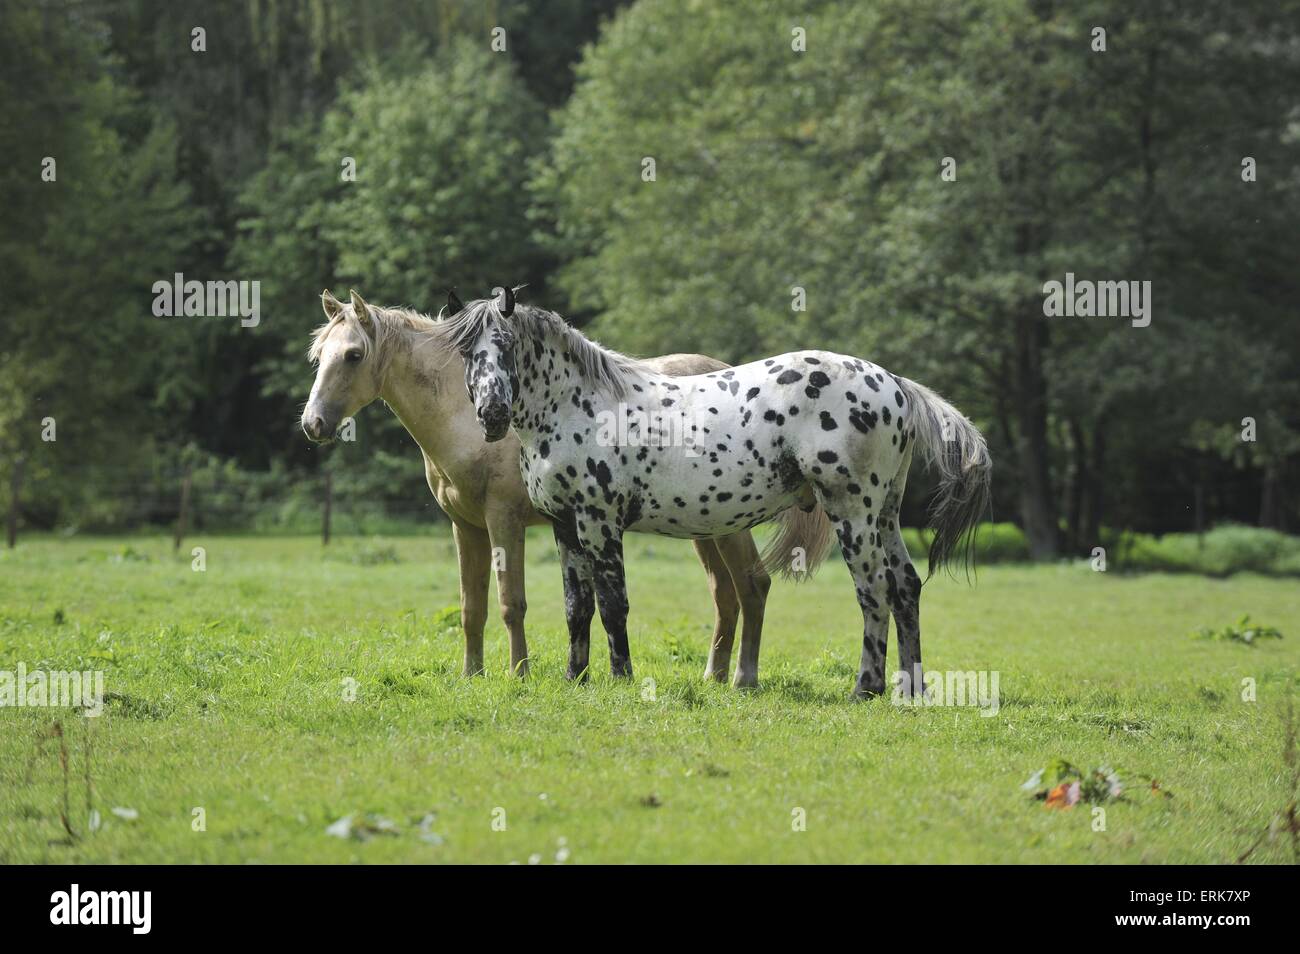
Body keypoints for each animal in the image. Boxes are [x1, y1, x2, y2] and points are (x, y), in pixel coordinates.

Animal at [299, 291, 816, 686]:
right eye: (318, 357)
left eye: (353, 355)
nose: (313, 424)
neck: (469, 415)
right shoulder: (466, 527)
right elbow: (471, 608)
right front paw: (472, 675)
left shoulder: (505, 522)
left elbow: (511, 604)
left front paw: (519, 674)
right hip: (706, 523)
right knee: (725, 593)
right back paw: (714, 677)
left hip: (728, 523)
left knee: (752, 584)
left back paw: (742, 679)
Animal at [452, 287, 987, 696]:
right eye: (466, 352)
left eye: (507, 345)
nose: (492, 415)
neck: (576, 406)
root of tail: (894, 383)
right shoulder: (566, 525)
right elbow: (576, 608)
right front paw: (575, 678)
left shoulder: (600, 523)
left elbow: (613, 605)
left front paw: (622, 679)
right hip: (884, 515)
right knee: (906, 587)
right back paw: (909, 688)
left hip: (853, 513)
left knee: (874, 590)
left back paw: (865, 687)